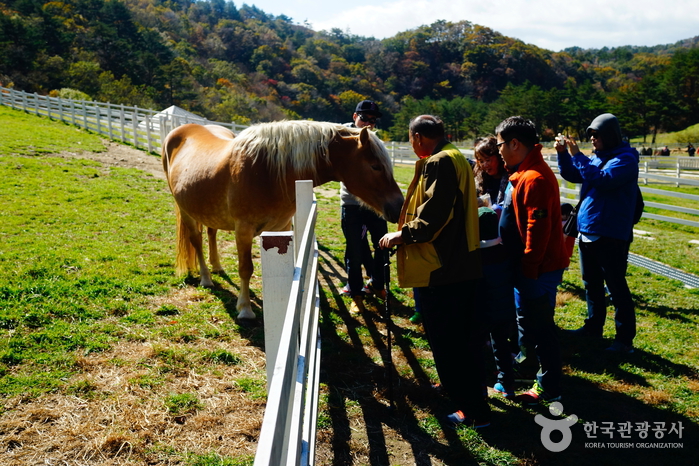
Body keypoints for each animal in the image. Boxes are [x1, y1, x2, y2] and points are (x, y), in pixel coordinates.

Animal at [162, 120, 404, 320]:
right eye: (375, 166)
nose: (399, 206)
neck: (266, 172)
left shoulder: (282, 227)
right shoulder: (244, 230)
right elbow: (245, 269)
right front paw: (245, 309)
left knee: (211, 232)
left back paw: (218, 267)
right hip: (185, 210)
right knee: (196, 240)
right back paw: (206, 278)